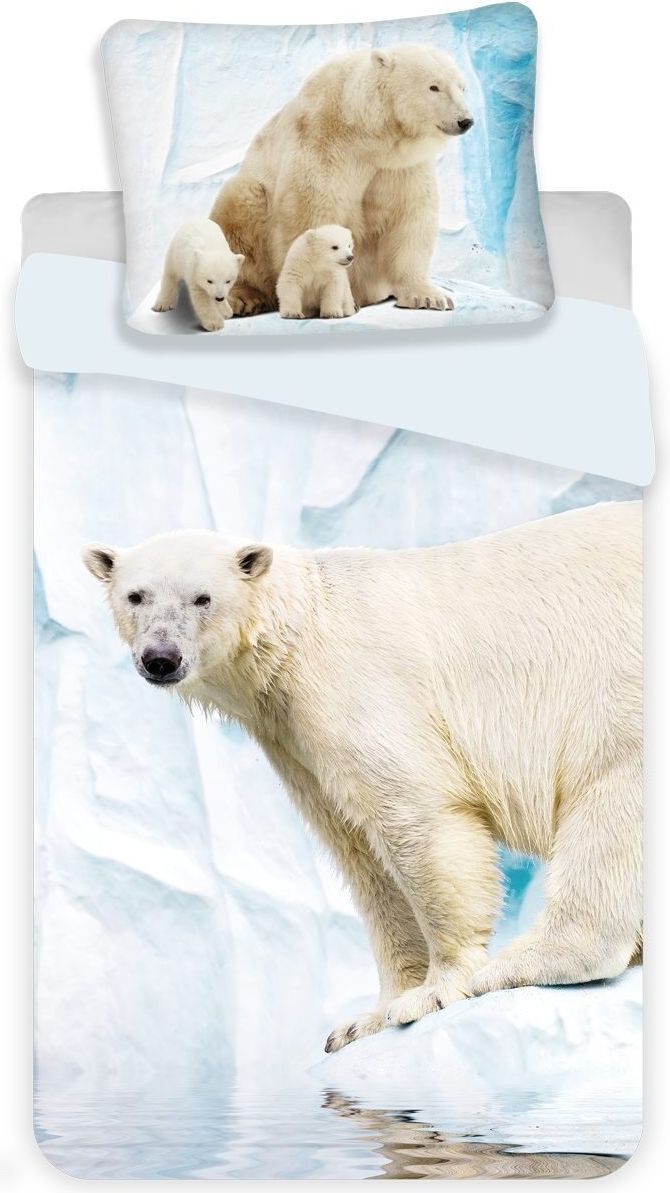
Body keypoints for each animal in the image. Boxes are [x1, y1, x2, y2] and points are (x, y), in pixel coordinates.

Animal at [83, 501, 642, 1054]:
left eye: (202, 597)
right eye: (136, 595)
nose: (161, 658)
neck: (299, 630)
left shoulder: (355, 688)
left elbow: (414, 816)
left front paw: (437, 989)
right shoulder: (295, 741)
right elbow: (361, 855)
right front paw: (363, 1021)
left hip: (613, 677)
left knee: (611, 794)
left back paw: (533, 959)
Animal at [209, 44, 473, 316]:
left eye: (462, 87)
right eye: (434, 87)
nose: (465, 121)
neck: (367, 133)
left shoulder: (400, 166)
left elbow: (410, 216)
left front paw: (430, 297)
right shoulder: (324, 145)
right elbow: (314, 214)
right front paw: (339, 301)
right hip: (250, 204)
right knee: (240, 209)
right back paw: (244, 297)